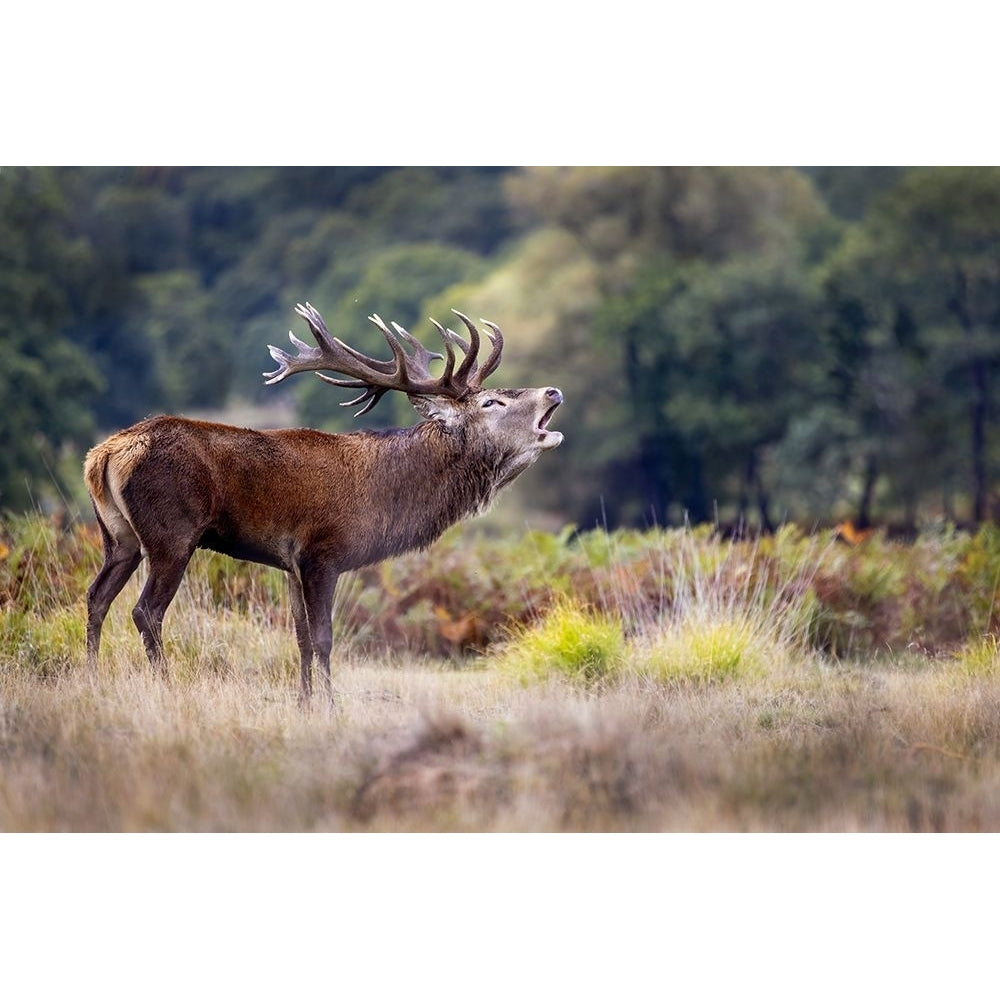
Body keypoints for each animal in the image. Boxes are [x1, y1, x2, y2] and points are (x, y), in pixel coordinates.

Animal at [85, 304, 564, 704]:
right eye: (490, 401)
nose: (553, 392)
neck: (386, 497)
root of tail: (103, 455)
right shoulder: (321, 553)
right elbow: (323, 638)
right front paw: (331, 705)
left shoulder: (289, 562)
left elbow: (299, 637)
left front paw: (304, 702)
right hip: (172, 535)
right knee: (145, 611)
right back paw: (166, 685)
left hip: (119, 538)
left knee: (96, 596)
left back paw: (90, 677)